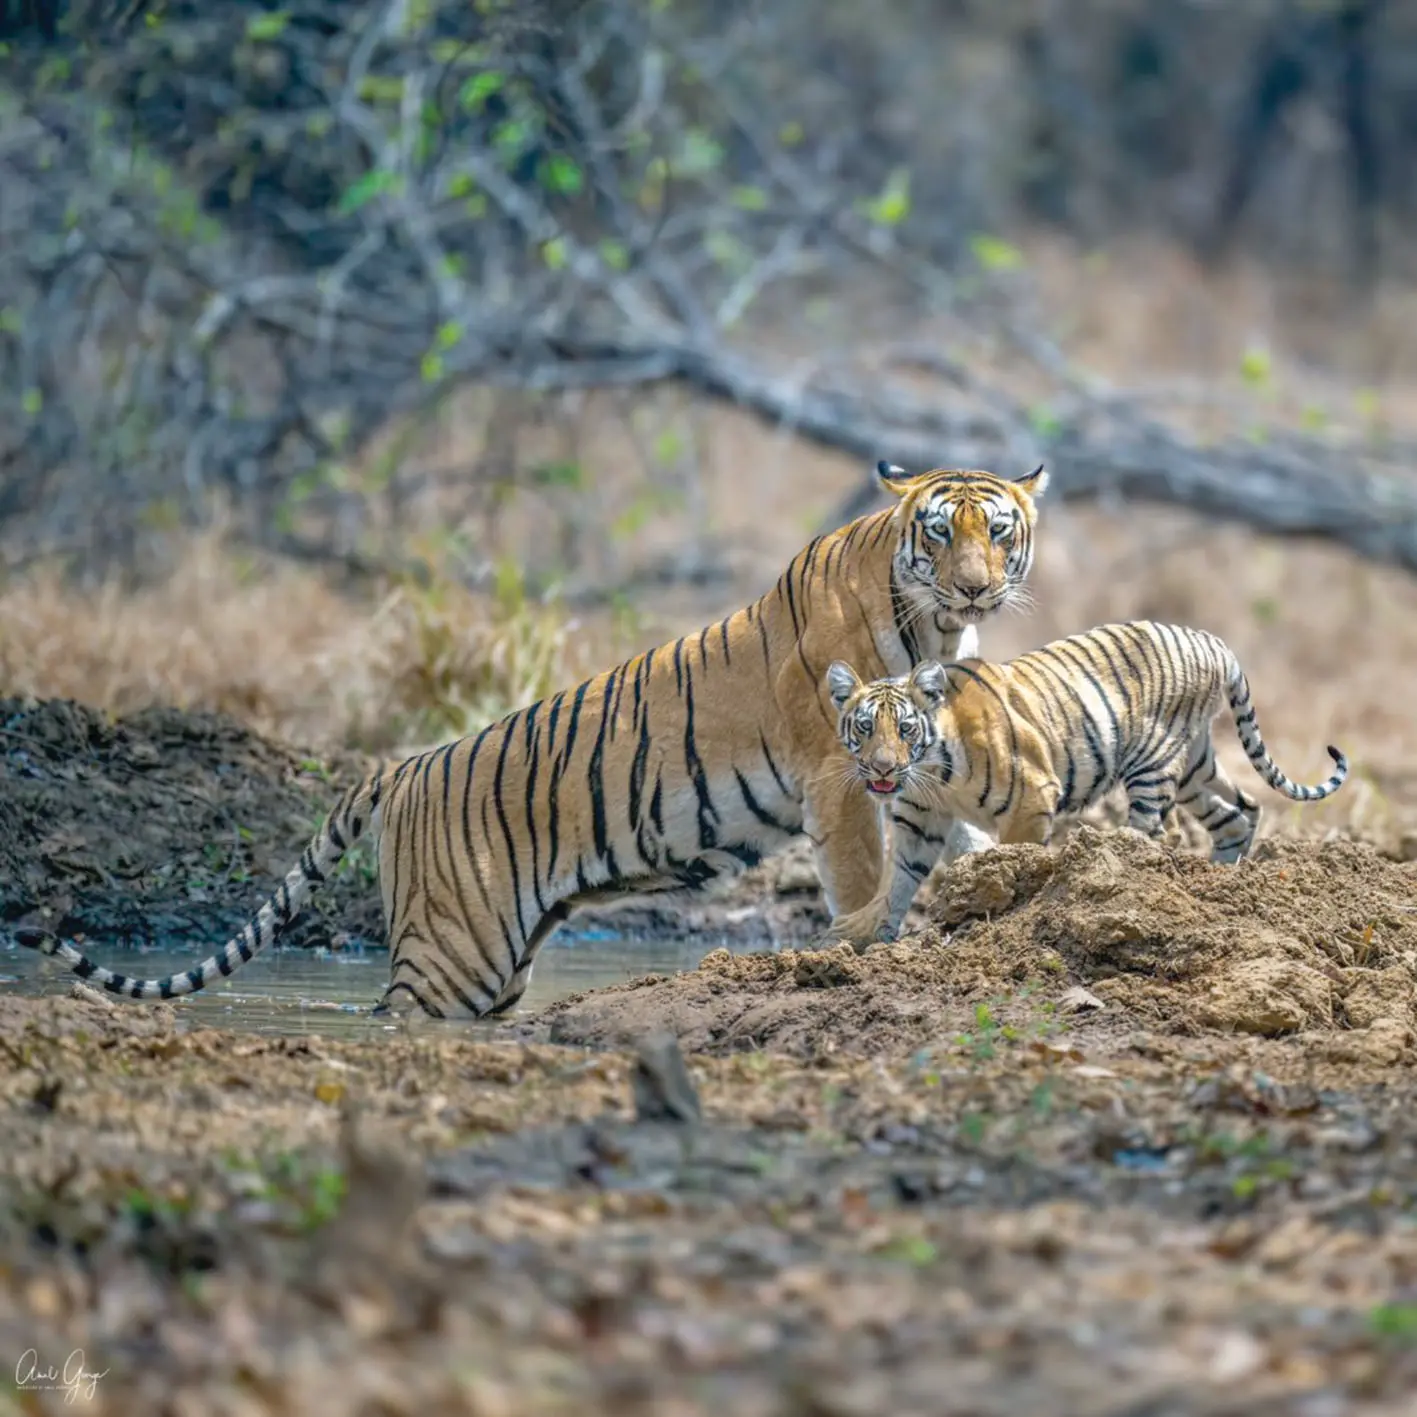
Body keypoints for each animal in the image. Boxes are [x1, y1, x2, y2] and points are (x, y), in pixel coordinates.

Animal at [17, 459, 1049, 1019]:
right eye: (939, 531)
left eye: (998, 532)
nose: (972, 587)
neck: (934, 627)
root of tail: (402, 767)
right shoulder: (839, 777)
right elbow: (867, 874)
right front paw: (865, 940)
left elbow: (955, 835)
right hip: (452, 951)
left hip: (496, 961)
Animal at [823, 619, 1349, 950]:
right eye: (864, 727)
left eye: (905, 728)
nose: (882, 770)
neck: (932, 773)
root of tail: (1209, 639)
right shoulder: (918, 821)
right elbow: (898, 881)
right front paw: (871, 938)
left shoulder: (1032, 797)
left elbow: (1015, 858)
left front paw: (1000, 912)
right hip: (1196, 766)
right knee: (1240, 813)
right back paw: (1225, 884)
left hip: (1153, 760)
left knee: (1158, 832)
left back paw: (1120, 875)